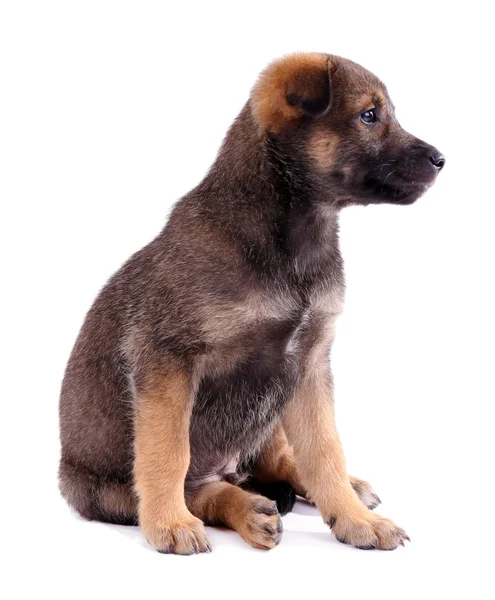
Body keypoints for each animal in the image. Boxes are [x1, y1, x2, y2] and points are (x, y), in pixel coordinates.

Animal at [58, 54, 446, 556]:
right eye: (368, 115)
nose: (442, 160)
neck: (293, 241)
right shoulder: (167, 358)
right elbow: (169, 452)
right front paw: (168, 523)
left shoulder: (309, 361)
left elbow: (324, 450)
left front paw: (353, 518)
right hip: (104, 490)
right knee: (198, 488)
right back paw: (242, 509)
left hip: (274, 408)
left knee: (278, 459)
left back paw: (346, 486)